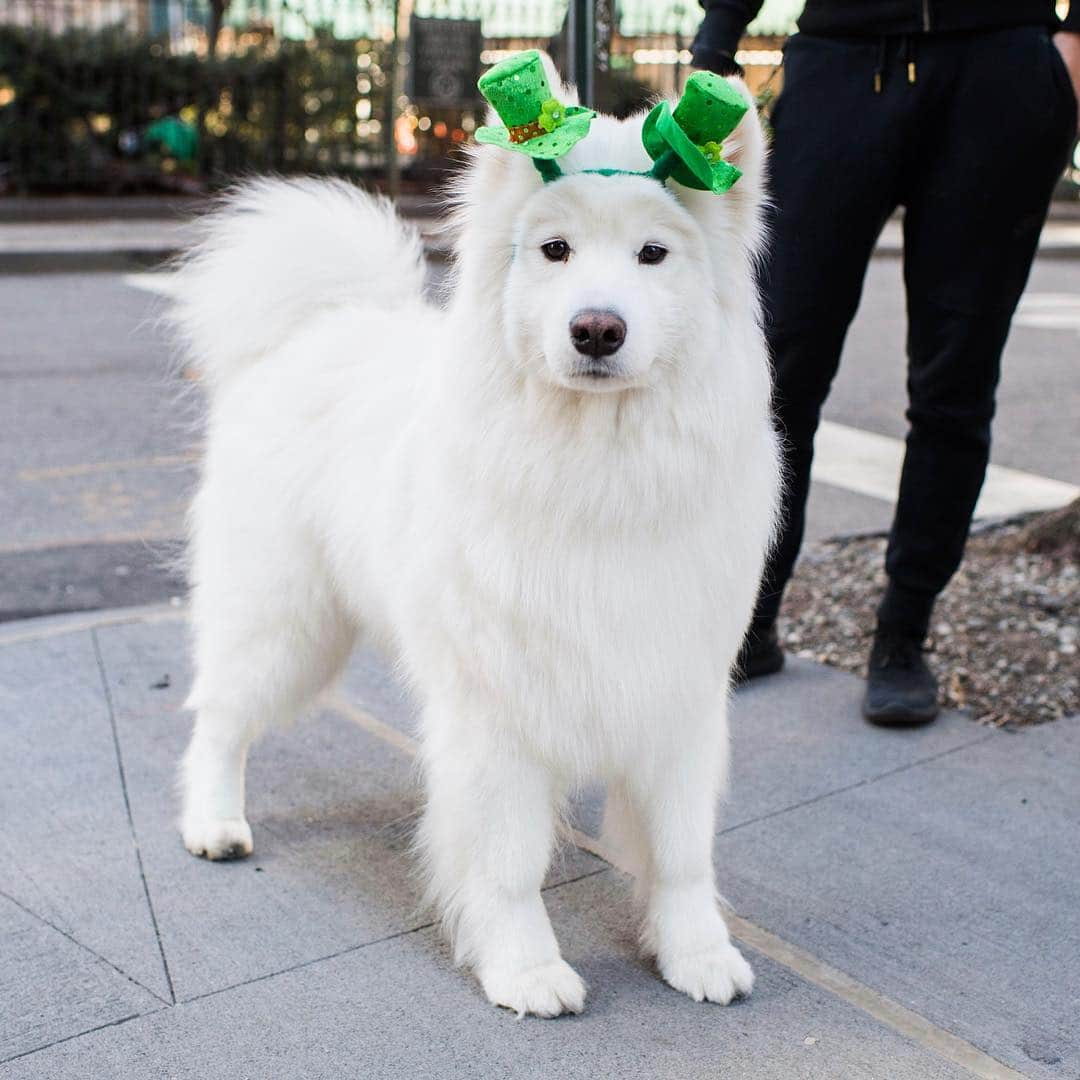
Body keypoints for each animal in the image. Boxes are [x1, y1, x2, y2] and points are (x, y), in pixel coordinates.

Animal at [170, 63, 777, 1015]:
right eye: (555, 250)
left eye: (653, 255)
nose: (596, 328)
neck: (595, 467)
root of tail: (320, 326)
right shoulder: (497, 710)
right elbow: (507, 863)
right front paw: (524, 968)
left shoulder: (674, 690)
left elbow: (682, 854)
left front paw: (697, 953)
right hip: (284, 623)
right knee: (219, 719)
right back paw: (214, 822)